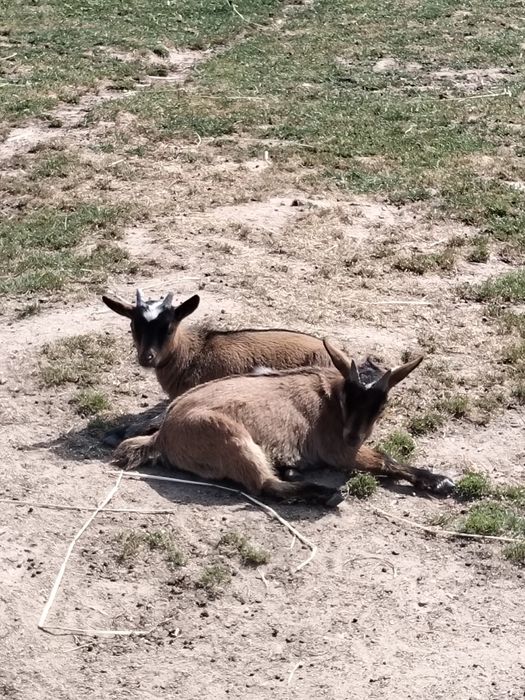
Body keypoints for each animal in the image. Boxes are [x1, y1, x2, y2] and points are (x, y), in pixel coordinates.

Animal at [113, 339, 455, 507]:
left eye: (381, 404)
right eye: (348, 397)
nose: (353, 436)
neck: (330, 398)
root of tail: (163, 436)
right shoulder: (338, 451)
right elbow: (385, 459)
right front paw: (439, 480)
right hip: (231, 438)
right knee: (265, 485)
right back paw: (325, 494)